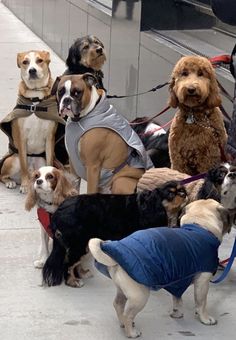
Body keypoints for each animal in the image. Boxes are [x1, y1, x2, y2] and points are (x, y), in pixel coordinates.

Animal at [0, 50, 65, 194]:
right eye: (25, 62)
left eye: (40, 60)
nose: (32, 70)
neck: (35, 101)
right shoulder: (22, 138)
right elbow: (24, 165)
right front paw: (24, 186)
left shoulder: (50, 138)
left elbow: (50, 161)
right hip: (13, 160)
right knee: (2, 175)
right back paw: (12, 182)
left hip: (40, 163)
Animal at [42, 181, 186, 286]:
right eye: (170, 194)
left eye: (181, 190)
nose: (184, 194)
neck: (151, 205)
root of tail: (58, 211)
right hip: (78, 241)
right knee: (68, 263)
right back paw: (72, 281)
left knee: (75, 261)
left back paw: (82, 273)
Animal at [89, 199, 231, 338]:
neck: (199, 225)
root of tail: (115, 258)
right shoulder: (203, 282)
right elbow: (201, 303)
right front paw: (205, 318)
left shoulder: (178, 279)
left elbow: (177, 299)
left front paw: (177, 313)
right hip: (139, 296)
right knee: (128, 314)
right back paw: (131, 332)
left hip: (123, 290)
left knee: (118, 305)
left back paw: (123, 323)